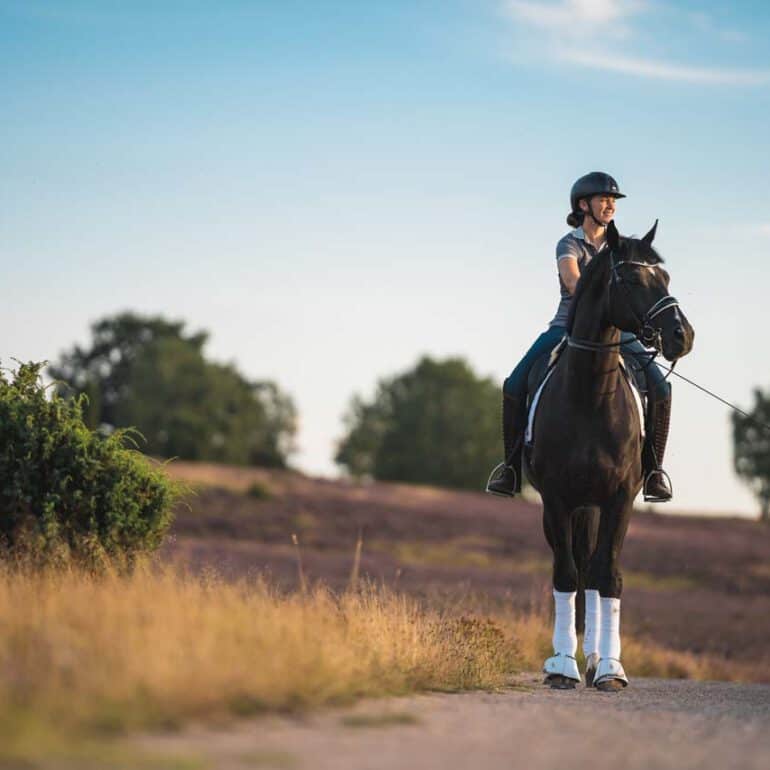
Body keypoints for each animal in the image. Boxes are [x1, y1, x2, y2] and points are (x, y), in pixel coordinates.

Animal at [524, 219, 694, 691]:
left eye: (665, 277)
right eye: (633, 280)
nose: (683, 336)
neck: (591, 393)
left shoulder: (620, 499)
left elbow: (609, 576)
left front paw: (611, 669)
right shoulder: (556, 500)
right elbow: (566, 573)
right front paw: (562, 665)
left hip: (596, 505)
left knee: (596, 571)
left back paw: (598, 658)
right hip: (575, 506)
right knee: (578, 567)